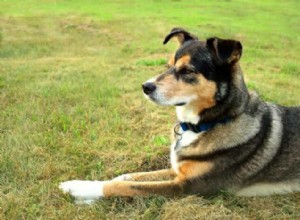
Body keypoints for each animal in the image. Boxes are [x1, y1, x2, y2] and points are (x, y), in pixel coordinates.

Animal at [59, 27, 300, 205]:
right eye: (168, 65)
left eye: (188, 71)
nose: (145, 87)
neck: (209, 123)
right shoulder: (177, 171)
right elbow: (132, 176)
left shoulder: (185, 187)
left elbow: (126, 186)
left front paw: (79, 187)